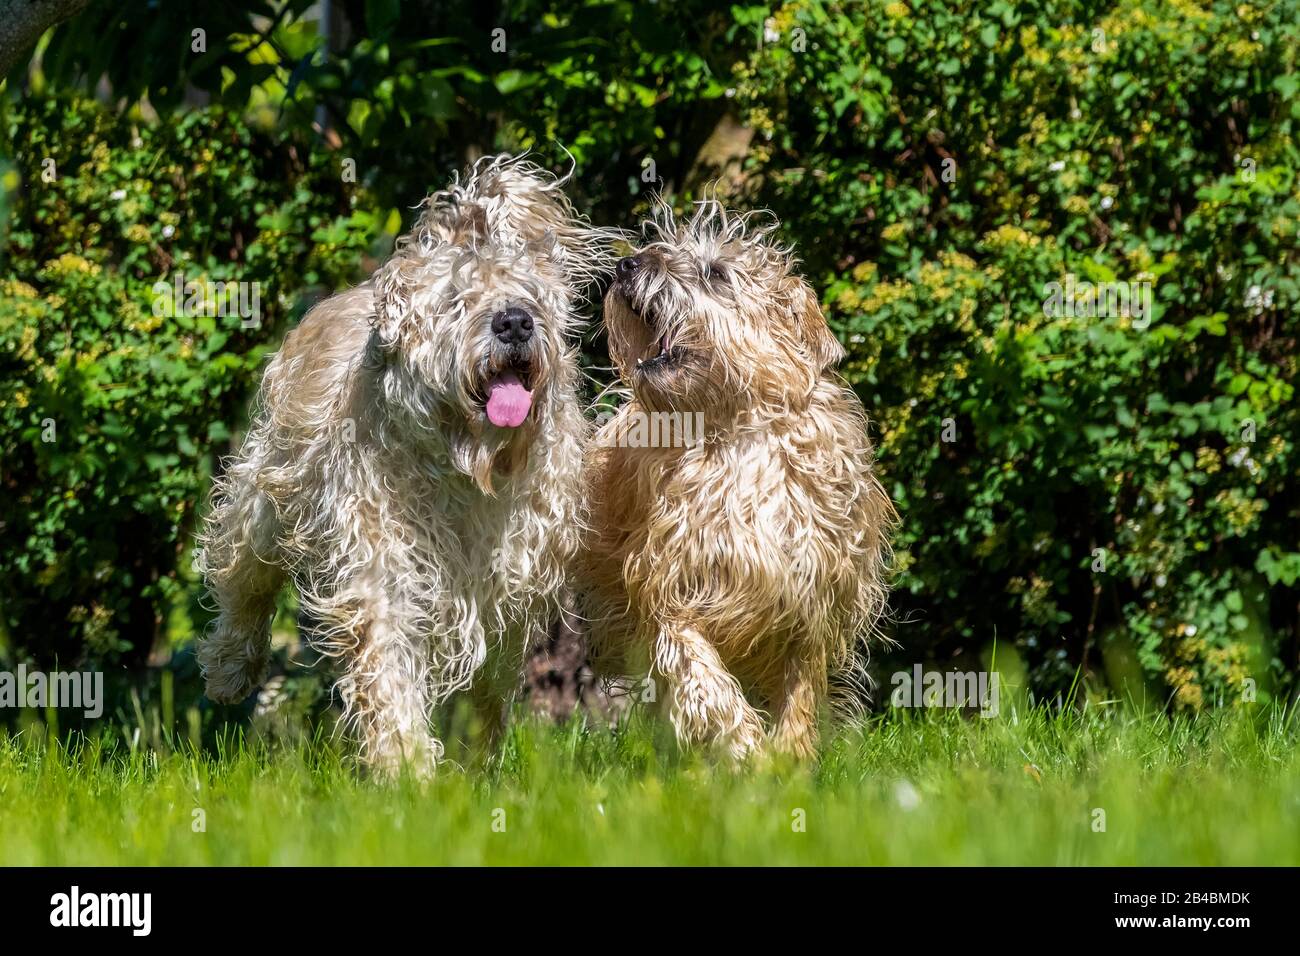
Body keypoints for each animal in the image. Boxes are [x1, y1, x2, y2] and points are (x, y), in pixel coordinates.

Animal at [196, 153, 613, 775]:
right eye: (455, 300)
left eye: (527, 294)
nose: (514, 322)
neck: (468, 464)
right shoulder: (380, 559)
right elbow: (387, 663)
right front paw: (407, 768)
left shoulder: (511, 588)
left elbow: (487, 684)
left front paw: (467, 761)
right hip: (268, 487)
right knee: (244, 572)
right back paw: (229, 667)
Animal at [579, 197, 894, 759]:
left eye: (716, 273)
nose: (626, 265)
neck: (732, 435)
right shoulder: (668, 590)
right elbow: (699, 673)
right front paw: (745, 747)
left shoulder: (809, 596)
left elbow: (801, 688)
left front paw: (791, 754)